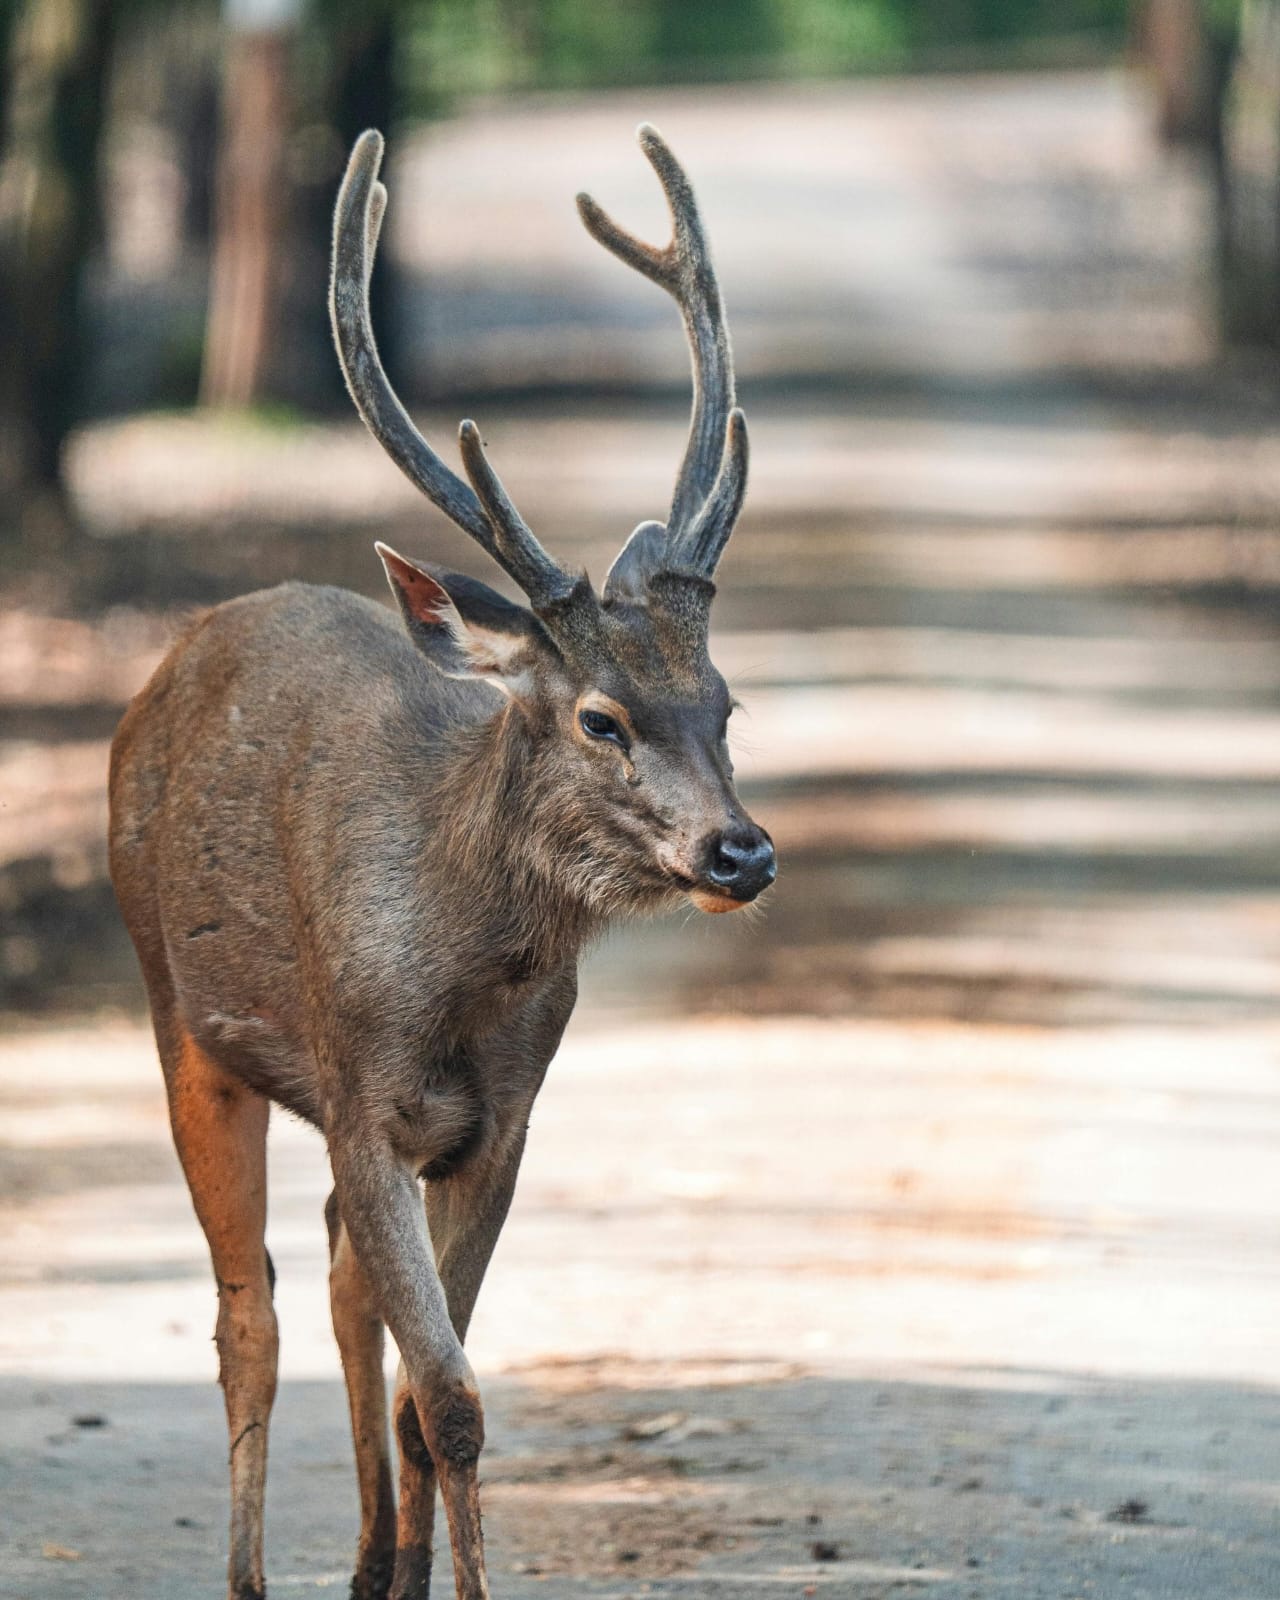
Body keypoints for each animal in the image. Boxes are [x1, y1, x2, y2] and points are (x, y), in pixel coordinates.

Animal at [108, 124, 775, 1600]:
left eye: (727, 704)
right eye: (601, 717)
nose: (740, 849)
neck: (461, 978)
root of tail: (179, 655)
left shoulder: (500, 1122)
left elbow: (434, 1395)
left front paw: (422, 1576)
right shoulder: (361, 1088)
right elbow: (453, 1396)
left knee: (343, 1283)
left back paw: (371, 1562)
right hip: (182, 1013)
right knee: (249, 1318)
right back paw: (249, 1574)